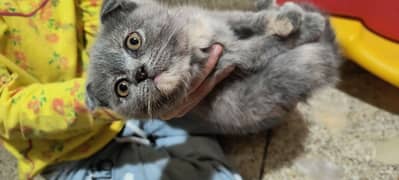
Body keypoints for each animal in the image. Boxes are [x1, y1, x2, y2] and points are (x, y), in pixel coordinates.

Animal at [86, 0, 342, 134]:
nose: (140, 73)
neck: (189, 46)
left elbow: (250, 19)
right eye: (122, 88)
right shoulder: (229, 58)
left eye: (133, 41)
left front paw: (291, 18)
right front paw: (310, 26)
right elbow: (265, 44)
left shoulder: (216, 19)